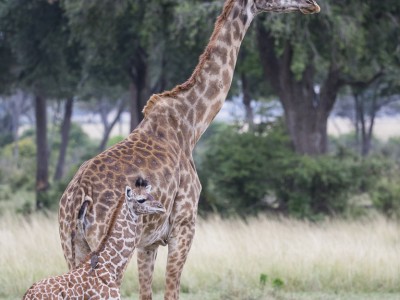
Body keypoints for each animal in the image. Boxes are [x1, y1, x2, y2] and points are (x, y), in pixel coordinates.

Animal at [58, 1, 318, 298]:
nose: (312, 5)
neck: (190, 125)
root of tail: (77, 200)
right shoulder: (184, 225)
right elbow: (172, 290)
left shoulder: (148, 242)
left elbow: (147, 292)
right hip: (104, 243)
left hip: (73, 247)